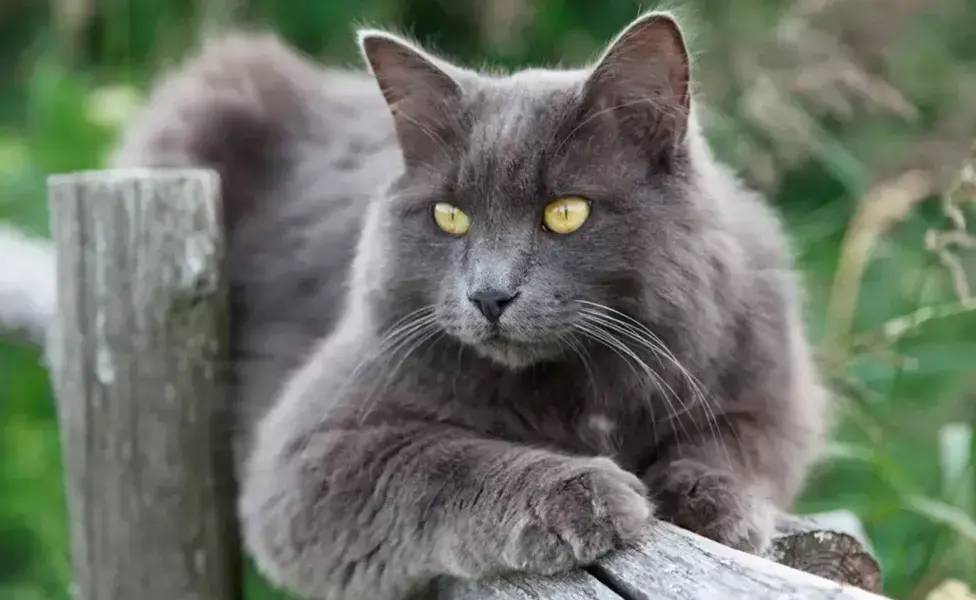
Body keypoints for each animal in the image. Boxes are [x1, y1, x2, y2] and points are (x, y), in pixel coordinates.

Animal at [114, 8, 832, 600]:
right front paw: (581, 494)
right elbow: (442, 461)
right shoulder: (308, 457)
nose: (489, 294)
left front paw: (711, 504)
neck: (584, 383)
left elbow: (735, 446)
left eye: (565, 213)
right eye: (450, 216)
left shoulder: (767, 387)